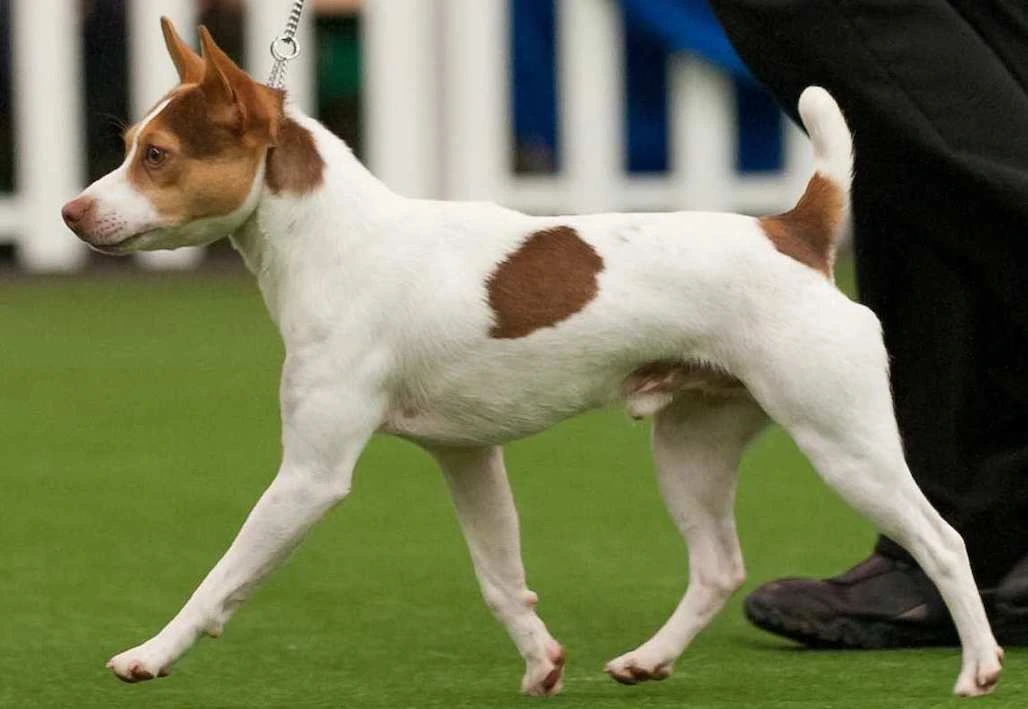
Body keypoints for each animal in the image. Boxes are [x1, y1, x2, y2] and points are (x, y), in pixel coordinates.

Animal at [58, 19, 1003, 698]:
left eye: (157, 156)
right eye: (127, 144)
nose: (69, 211)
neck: (339, 241)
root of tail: (795, 232)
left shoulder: (310, 476)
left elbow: (222, 576)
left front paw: (151, 652)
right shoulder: (468, 456)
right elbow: (500, 576)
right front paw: (541, 659)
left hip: (843, 440)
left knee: (943, 539)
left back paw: (978, 666)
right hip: (691, 448)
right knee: (718, 566)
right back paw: (649, 658)